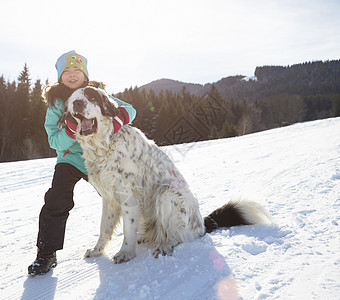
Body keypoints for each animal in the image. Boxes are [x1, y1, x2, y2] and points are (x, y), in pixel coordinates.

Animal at [57, 86, 270, 262]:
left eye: (91, 96)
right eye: (73, 99)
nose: (77, 103)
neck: (104, 145)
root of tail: (201, 225)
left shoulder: (129, 198)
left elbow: (127, 229)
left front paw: (125, 253)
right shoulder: (109, 198)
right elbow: (104, 228)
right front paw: (97, 251)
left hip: (166, 195)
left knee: (179, 236)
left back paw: (164, 246)